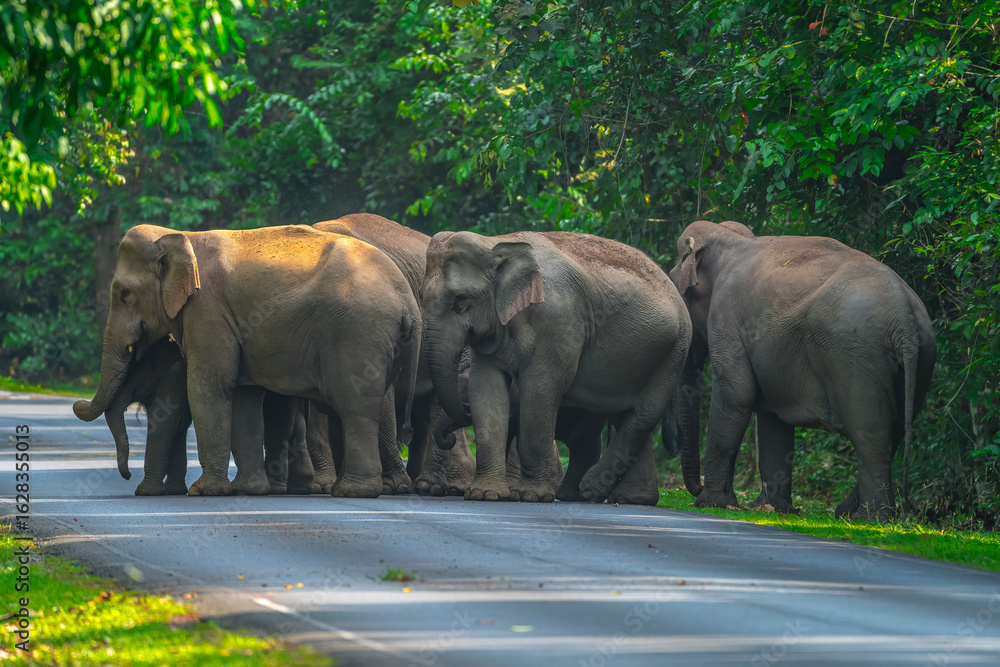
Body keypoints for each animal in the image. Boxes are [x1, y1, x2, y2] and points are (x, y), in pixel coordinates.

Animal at [73, 224, 421, 498]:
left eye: (124, 294)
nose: (77, 402)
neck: (181, 237)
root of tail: (409, 302)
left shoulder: (207, 310)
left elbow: (208, 386)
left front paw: (205, 491)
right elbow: (243, 396)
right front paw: (247, 490)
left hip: (357, 335)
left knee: (354, 408)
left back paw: (354, 492)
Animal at [421, 230, 691, 503]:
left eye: (461, 300)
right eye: (421, 299)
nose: (452, 432)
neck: (495, 242)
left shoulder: (558, 322)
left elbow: (540, 388)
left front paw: (530, 496)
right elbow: (487, 387)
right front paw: (485, 494)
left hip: (675, 352)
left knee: (642, 415)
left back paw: (591, 489)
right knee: (624, 414)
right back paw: (626, 498)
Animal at [669, 220, 936, 520]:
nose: (695, 489)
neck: (730, 238)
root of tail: (904, 316)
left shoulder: (726, 314)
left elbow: (736, 394)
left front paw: (710, 503)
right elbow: (772, 417)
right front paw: (772, 509)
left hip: (857, 356)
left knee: (872, 434)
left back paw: (869, 518)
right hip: (922, 358)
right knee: (897, 430)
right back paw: (847, 512)